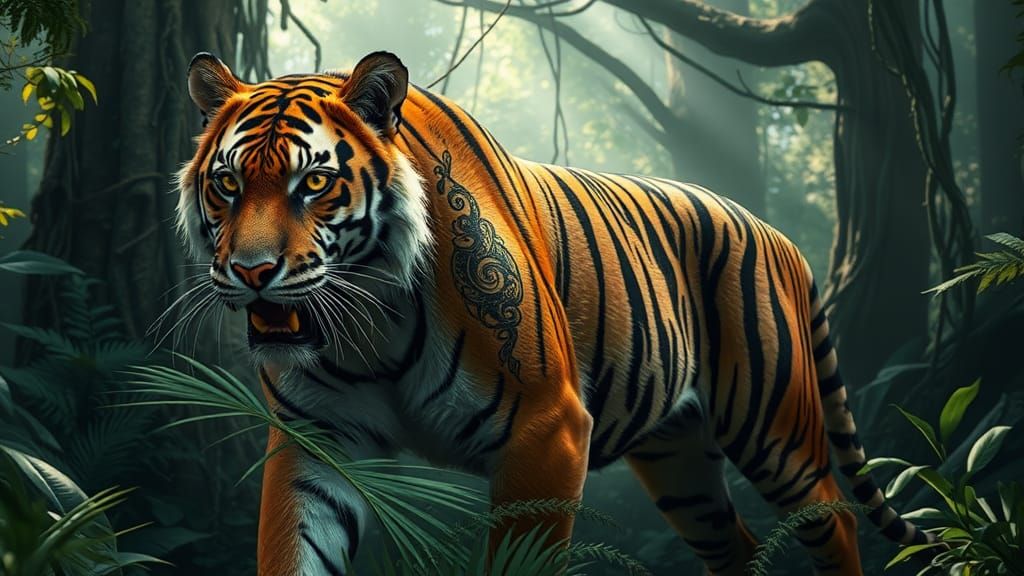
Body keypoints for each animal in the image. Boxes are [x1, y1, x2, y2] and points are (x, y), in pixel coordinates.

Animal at [175, 50, 933, 575]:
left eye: (314, 183)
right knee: (735, 543)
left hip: (776, 429)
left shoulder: (546, 433)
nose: (252, 272)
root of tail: (780, 238)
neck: (369, 328)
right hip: (679, 458)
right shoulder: (312, 442)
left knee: (835, 520)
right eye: (228, 184)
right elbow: (293, 548)